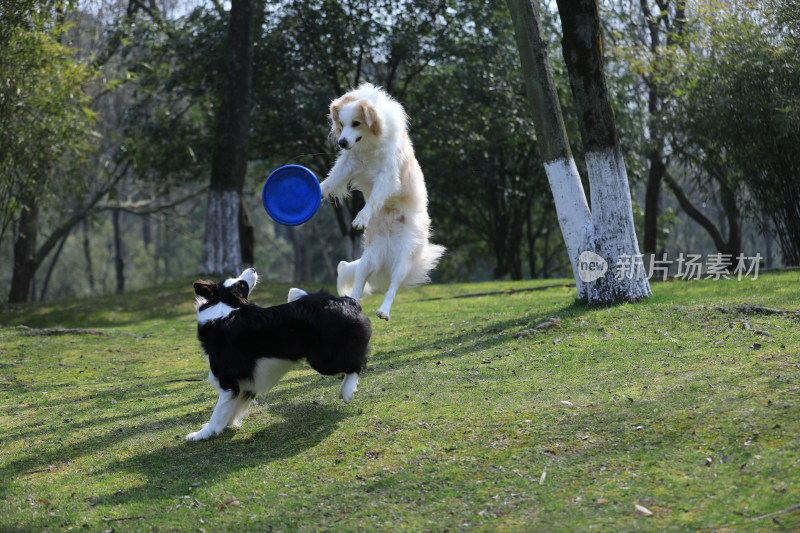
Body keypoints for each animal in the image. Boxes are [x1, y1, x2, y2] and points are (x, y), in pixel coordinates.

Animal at [188, 266, 372, 440]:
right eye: (241, 283)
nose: (252, 269)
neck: (223, 308)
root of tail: (348, 301)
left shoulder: (228, 380)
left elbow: (218, 412)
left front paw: (202, 434)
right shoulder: (243, 384)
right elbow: (231, 409)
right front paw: (225, 425)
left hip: (323, 360)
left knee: (356, 364)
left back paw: (347, 391)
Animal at [318, 83, 444, 320]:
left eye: (356, 123)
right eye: (341, 124)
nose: (342, 142)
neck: (368, 146)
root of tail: (387, 255)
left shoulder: (387, 176)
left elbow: (375, 198)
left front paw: (362, 218)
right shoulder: (348, 164)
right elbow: (330, 181)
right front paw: (316, 190)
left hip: (402, 262)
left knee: (392, 287)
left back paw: (384, 310)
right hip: (368, 260)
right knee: (358, 286)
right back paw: (351, 305)